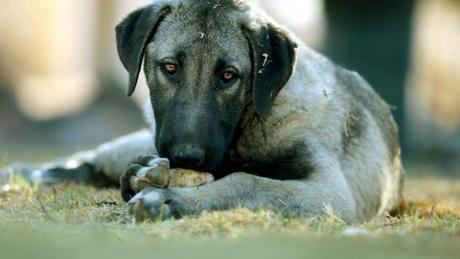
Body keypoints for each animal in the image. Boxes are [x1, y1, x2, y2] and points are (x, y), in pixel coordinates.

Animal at [0, 0, 402, 223]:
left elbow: (246, 181)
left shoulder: (330, 192)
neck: (249, 127)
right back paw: (25, 174)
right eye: (169, 67)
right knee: (88, 160)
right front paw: (148, 178)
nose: (186, 157)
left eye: (228, 76)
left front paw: (167, 198)